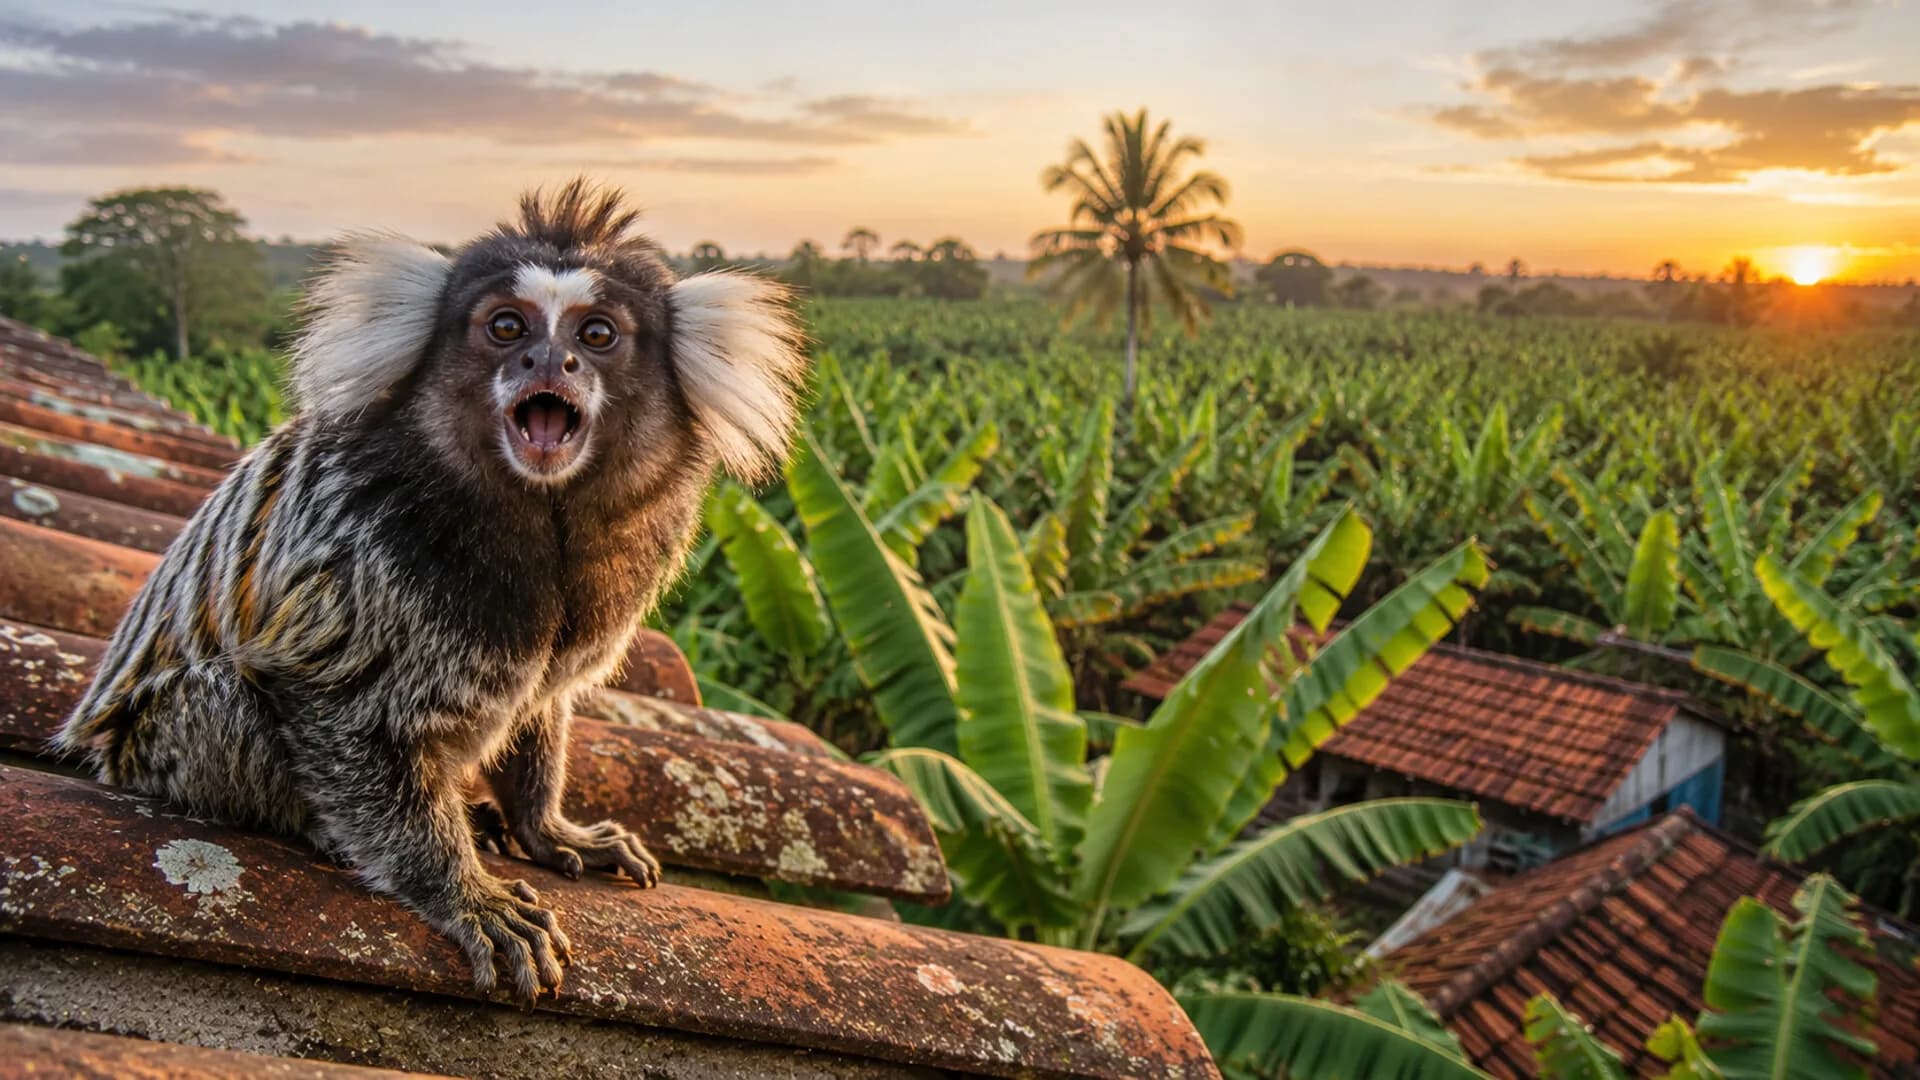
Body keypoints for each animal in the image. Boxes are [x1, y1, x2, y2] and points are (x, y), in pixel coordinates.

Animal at [55, 180, 808, 1003]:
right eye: (507, 327)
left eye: (598, 334)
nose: (550, 359)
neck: (537, 515)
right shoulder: (361, 543)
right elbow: (337, 707)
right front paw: (462, 892)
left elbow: (540, 703)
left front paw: (546, 828)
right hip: (160, 745)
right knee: (228, 699)